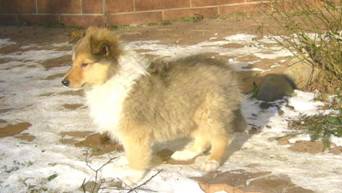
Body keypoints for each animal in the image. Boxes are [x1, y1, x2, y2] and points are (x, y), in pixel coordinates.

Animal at [62, 26, 242, 184]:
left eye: (85, 64)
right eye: (72, 62)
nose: (64, 82)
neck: (111, 77)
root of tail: (228, 71)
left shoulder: (135, 131)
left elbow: (136, 154)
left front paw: (133, 176)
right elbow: (130, 151)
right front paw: (123, 163)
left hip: (209, 112)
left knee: (220, 138)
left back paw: (211, 161)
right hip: (192, 112)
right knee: (203, 137)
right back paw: (186, 154)